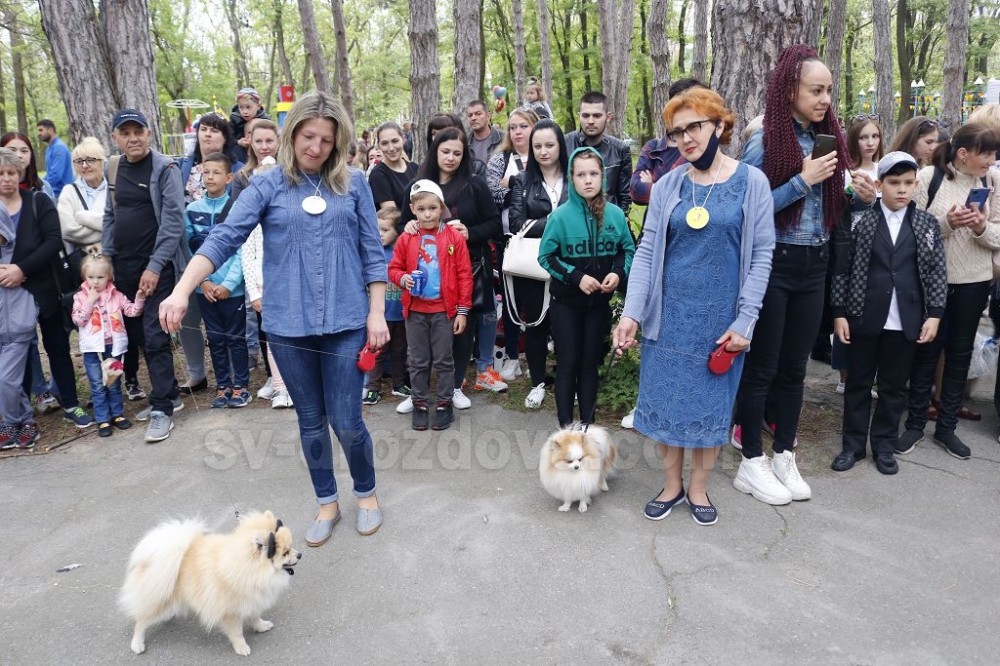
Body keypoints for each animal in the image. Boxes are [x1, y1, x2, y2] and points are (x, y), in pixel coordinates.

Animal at [119, 508, 298, 652]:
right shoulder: (230, 612)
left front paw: (261, 626)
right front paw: (242, 647)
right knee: (140, 622)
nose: (300, 555)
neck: (246, 568)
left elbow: (255, 617)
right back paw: (137, 644)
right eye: (285, 553)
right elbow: (237, 633)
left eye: (291, 546)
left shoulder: (252, 601)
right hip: (158, 601)